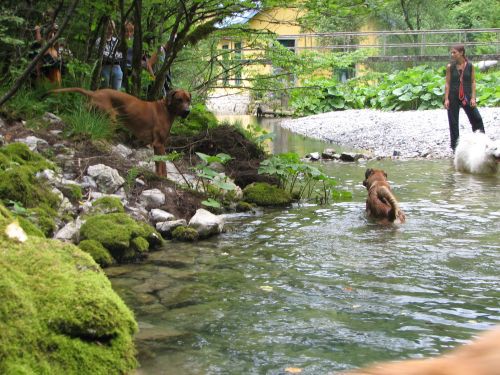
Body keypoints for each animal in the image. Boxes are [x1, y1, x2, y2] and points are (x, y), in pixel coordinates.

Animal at [50, 88, 191, 176]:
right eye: (179, 99)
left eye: (188, 100)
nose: (187, 111)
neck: (167, 109)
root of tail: (94, 93)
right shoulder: (159, 144)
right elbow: (162, 164)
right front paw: (162, 177)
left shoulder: (158, 145)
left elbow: (159, 164)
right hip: (111, 118)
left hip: (93, 114)